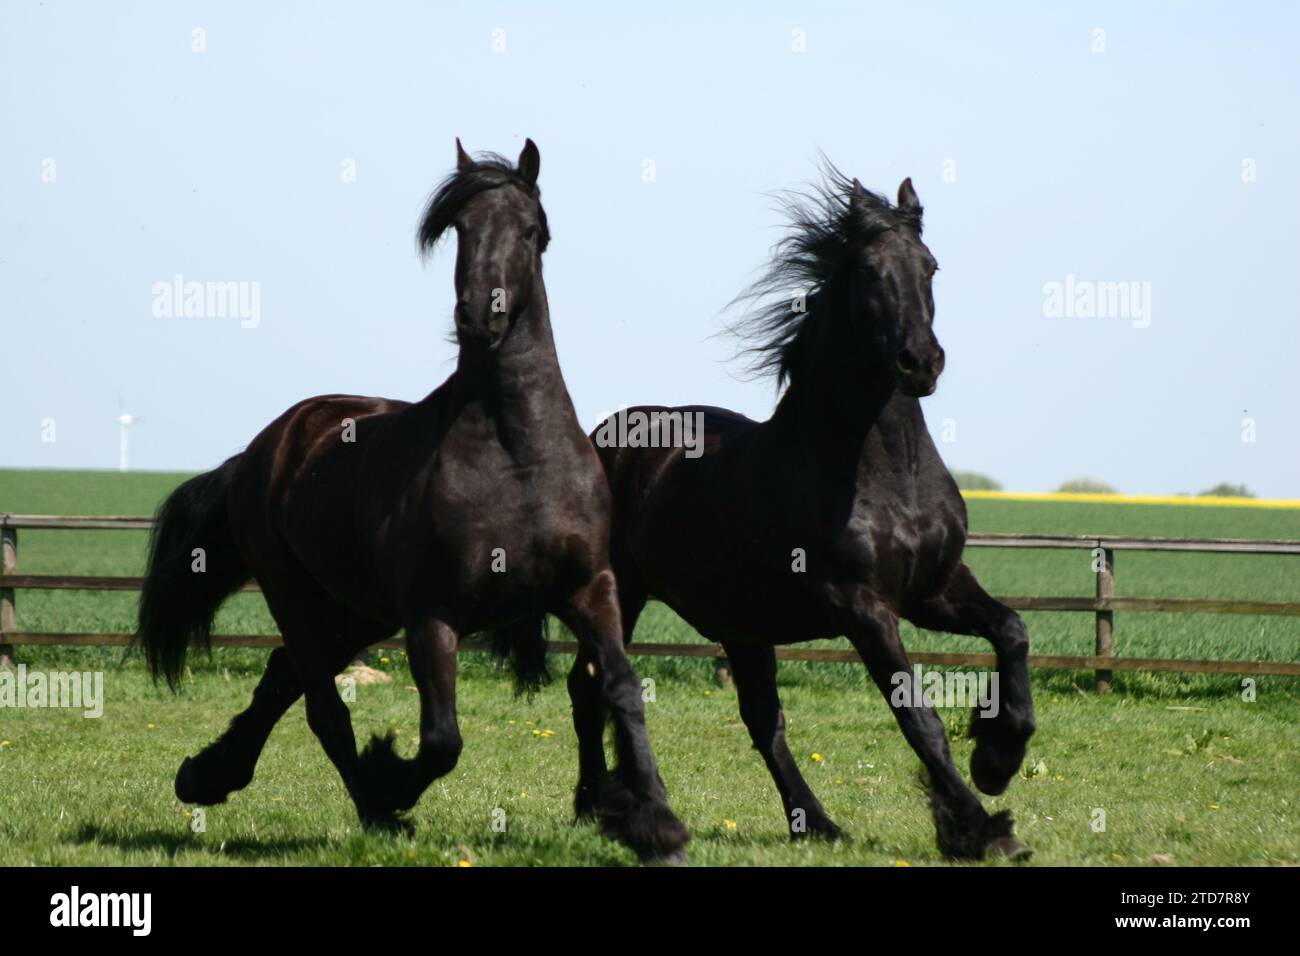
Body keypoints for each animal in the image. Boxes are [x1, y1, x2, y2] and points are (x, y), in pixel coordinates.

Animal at [135, 139, 688, 862]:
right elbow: (442, 740)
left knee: (285, 676)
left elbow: (620, 687)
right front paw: (390, 775)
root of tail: (267, 447)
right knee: (322, 705)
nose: (481, 315)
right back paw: (373, 807)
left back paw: (207, 775)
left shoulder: (590, 588)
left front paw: (655, 823)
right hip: (295, 594)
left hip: (356, 609)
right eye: (461, 229)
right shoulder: (431, 616)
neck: (517, 454)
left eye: (531, 231)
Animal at [520, 165, 1035, 859]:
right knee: (591, 685)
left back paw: (813, 822)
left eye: (931, 265)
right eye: (870, 270)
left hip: (741, 624)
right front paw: (981, 828)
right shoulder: (863, 606)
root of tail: (601, 436)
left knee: (762, 720)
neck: (878, 469)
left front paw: (998, 759)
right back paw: (597, 806)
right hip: (621, 592)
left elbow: (1012, 630)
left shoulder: (934, 590)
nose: (921, 363)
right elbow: (918, 717)